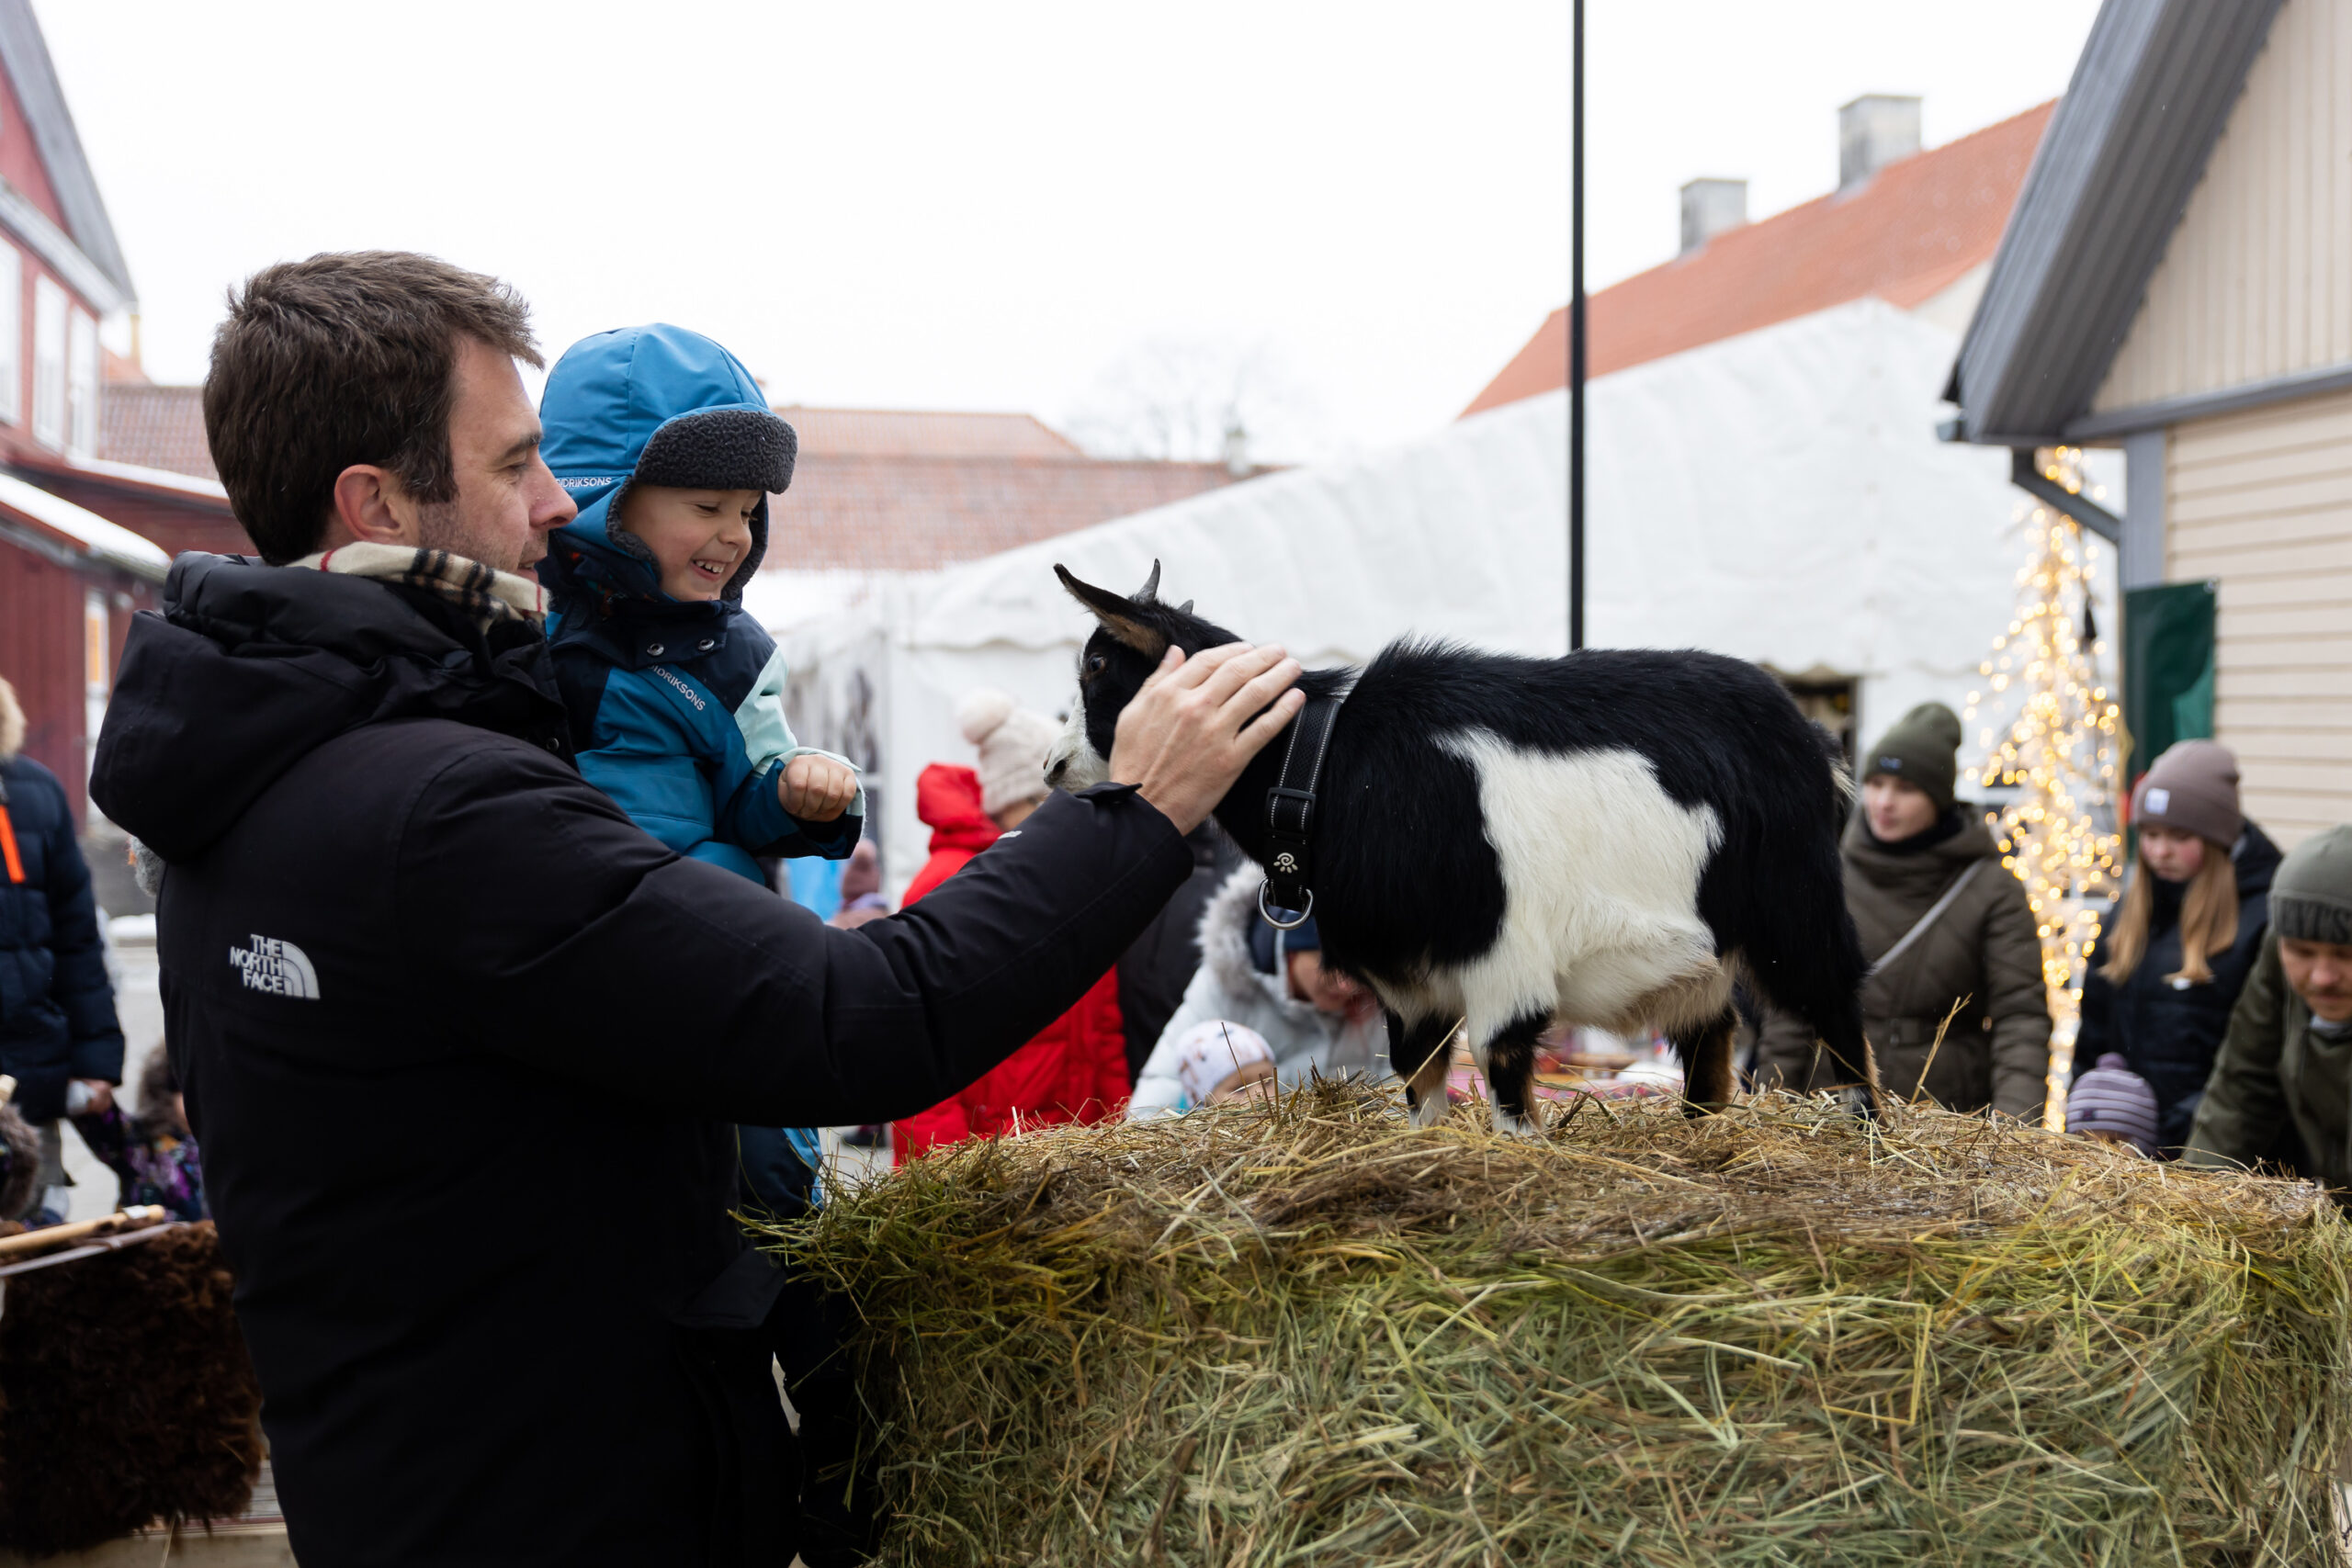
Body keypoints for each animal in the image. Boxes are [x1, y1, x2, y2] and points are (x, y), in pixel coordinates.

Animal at [1039, 564, 1882, 1128]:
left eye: (1098, 664)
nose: (1051, 768)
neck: (1328, 764)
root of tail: (1815, 739)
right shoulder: (1411, 985)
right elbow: (1421, 1088)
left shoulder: (1505, 969)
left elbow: (1509, 1093)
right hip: (1697, 958)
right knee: (1712, 1039)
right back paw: (1702, 1137)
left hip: (1797, 909)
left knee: (1840, 1009)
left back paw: (1866, 1125)